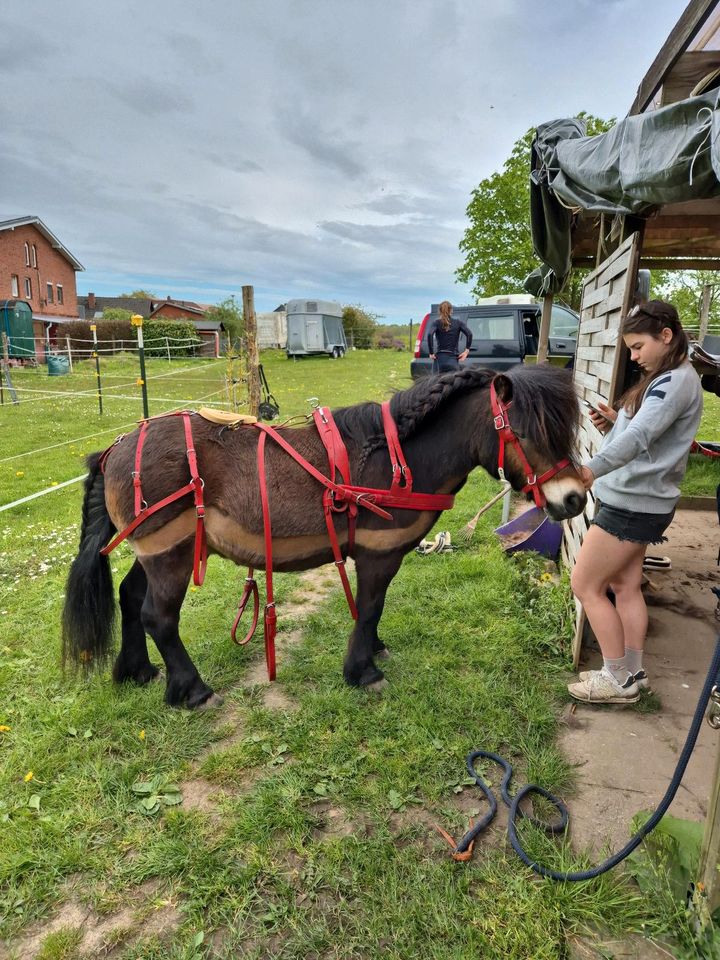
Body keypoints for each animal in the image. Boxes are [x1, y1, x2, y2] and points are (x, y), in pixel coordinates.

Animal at [63, 364, 584, 708]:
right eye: (524, 432)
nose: (576, 498)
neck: (396, 457)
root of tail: (113, 450)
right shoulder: (378, 554)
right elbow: (370, 606)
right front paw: (363, 671)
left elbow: (374, 611)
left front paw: (373, 649)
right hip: (170, 556)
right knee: (158, 616)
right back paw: (191, 690)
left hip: (157, 551)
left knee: (130, 598)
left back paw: (136, 671)